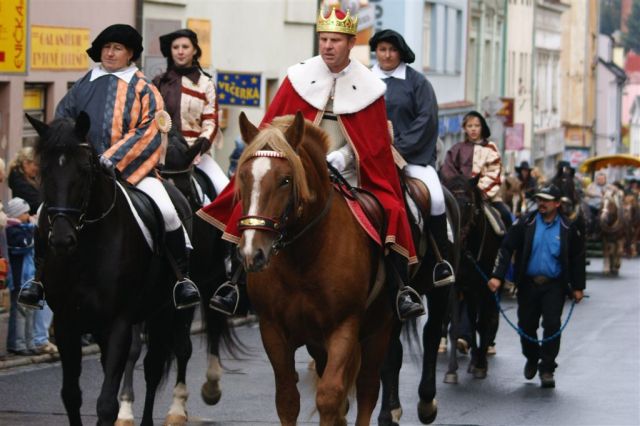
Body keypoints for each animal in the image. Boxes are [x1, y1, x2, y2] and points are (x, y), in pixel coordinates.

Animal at [27, 114, 191, 426]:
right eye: (44, 169)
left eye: (84, 168)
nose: (62, 240)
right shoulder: (67, 322)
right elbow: (71, 395)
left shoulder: (119, 321)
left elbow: (106, 403)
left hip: (164, 311)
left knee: (153, 368)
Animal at [232, 112, 392, 426]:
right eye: (243, 177)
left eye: (285, 180)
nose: (252, 253)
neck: (303, 261)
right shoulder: (272, 329)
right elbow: (287, 399)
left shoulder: (344, 327)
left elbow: (329, 396)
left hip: (379, 330)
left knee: (368, 388)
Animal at [442, 176, 502, 382]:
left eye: (468, 203)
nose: (455, 237)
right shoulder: (456, 285)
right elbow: (456, 325)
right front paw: (451, 371)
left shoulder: (486, 286)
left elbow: (483, 323)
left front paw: (481, 366)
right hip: (470, 292)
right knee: (471, 317)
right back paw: (474, 358)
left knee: (486, 318)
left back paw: (479, 359)